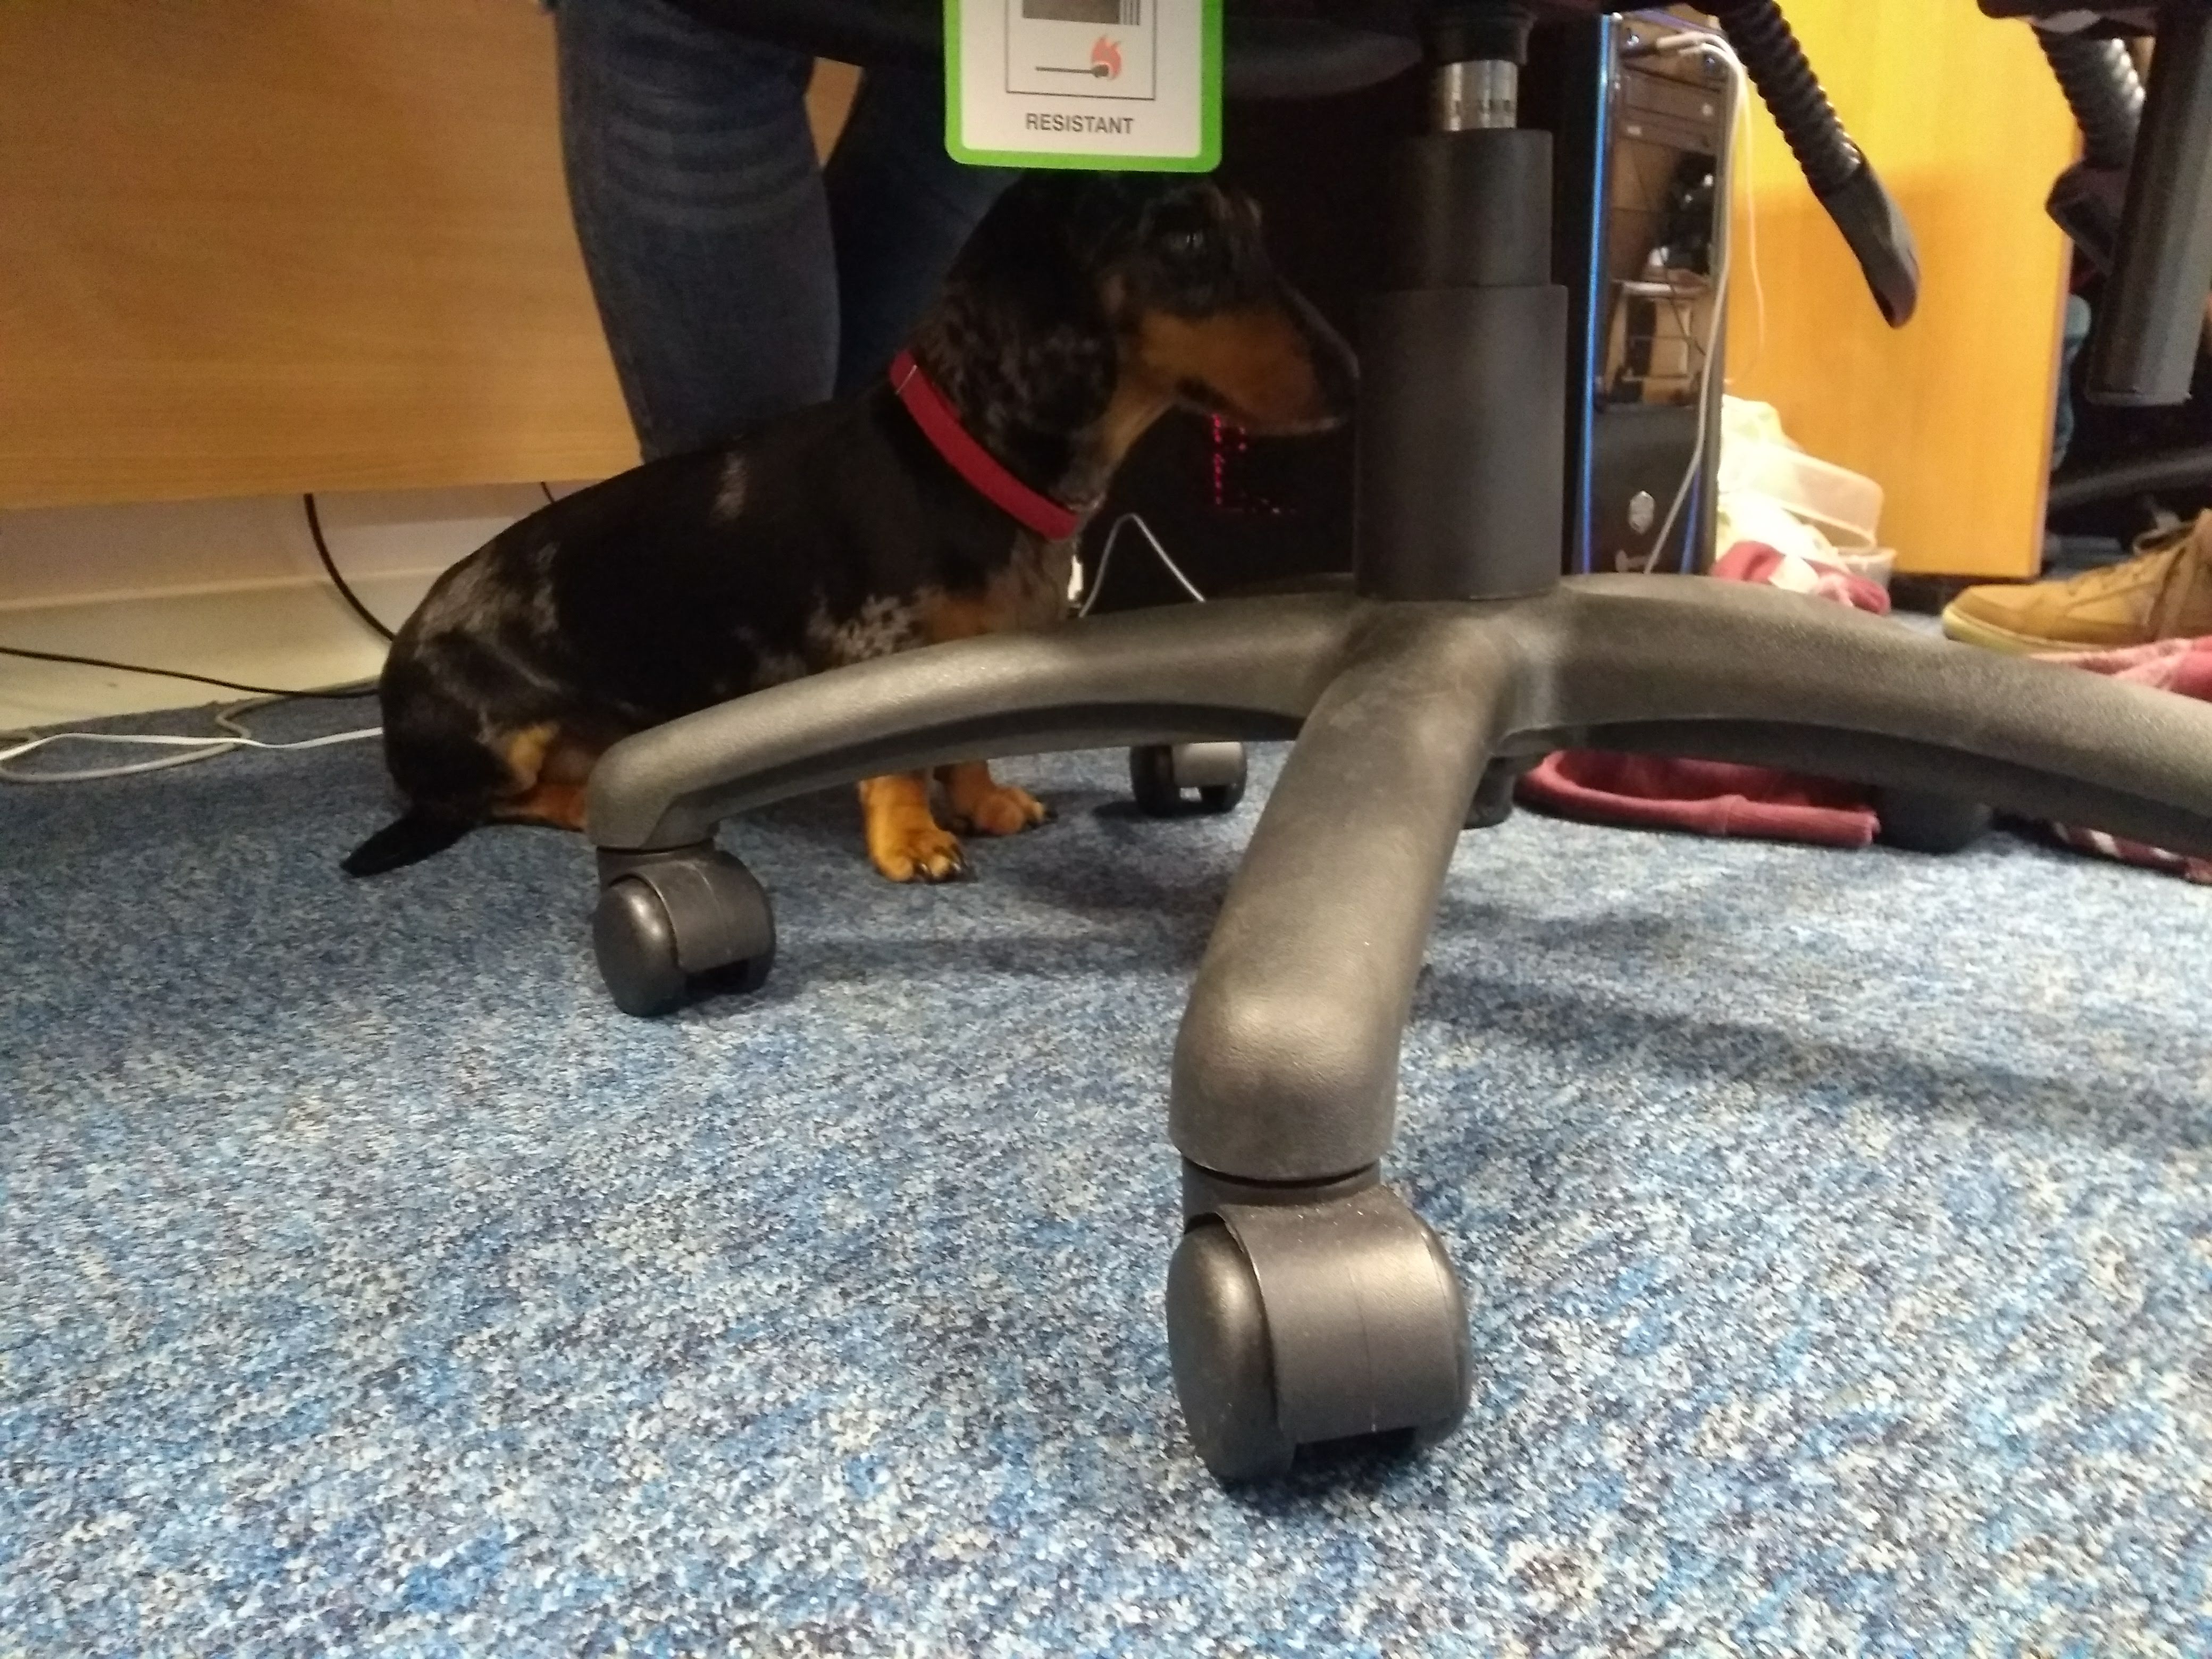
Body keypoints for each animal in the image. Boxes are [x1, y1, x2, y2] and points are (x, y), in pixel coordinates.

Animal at [340, 172, 1362, 885]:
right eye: (1186, 236)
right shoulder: (879, 648)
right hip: (494, 740)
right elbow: (899, 765)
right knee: (496, 800)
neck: (963, 471)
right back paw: (584, 800)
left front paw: (984, 801)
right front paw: (913, 837)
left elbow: (968, 743)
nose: (1356, 376)